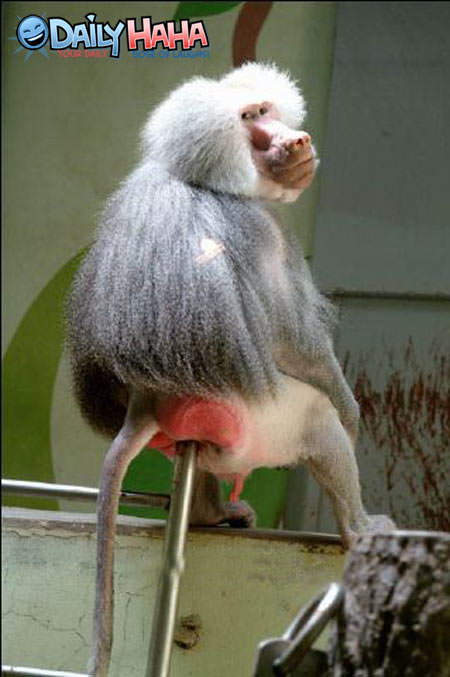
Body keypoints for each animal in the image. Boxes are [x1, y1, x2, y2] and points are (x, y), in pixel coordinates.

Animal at [65, 62, 395, 676]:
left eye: (265, 109)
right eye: (249, 120)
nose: (297, 140)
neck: (204, 177)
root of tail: (145, 402)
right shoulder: (259, 233)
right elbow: (294, 343)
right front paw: (352, 409)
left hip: (195, 430)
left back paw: (208, 515)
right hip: (264, 419)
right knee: (317, 420)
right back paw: (361, 530)